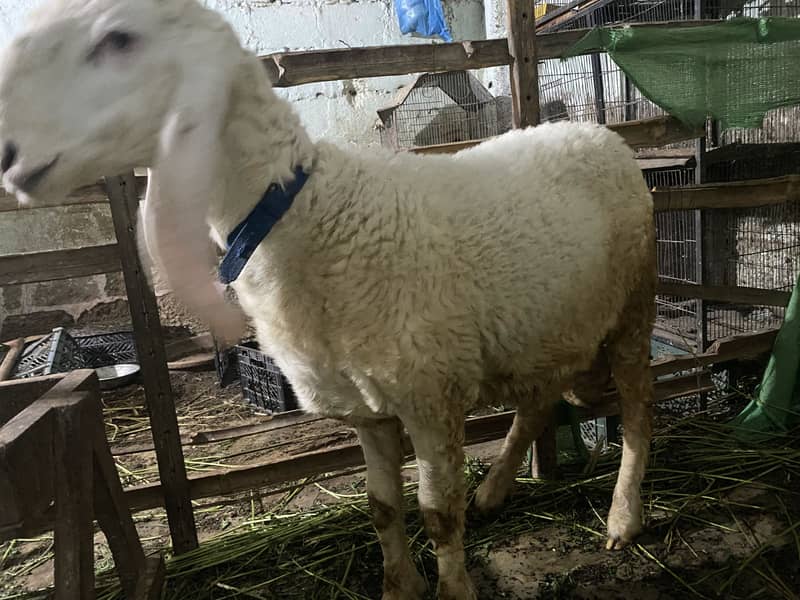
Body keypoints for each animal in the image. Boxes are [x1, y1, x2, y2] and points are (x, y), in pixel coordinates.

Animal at [0, 1, 656, 598]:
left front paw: (451, 588)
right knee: (540, 399)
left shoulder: (429, 396)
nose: (7, 153)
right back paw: (495, 491)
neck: (307, 216)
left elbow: (438, 515)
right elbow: (381, 507)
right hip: (547, 323)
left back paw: (623, 518)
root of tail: (596, 132)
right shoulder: (367, 408)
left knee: (637, 411)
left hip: (633, 304)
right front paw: (399, 588)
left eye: (117, 38)